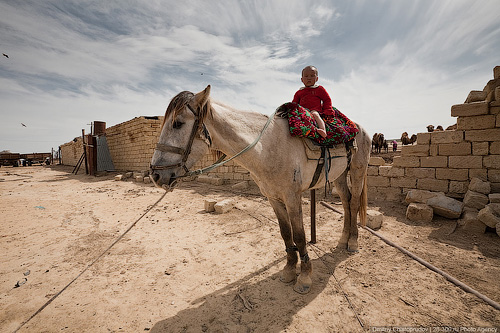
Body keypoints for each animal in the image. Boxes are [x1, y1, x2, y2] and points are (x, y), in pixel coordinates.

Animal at [149, 85, 372, 294]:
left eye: (177, 123)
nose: (155, 175)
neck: (267, 147)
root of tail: (361, 129)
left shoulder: (292, 197)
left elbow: (300, 236)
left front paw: (304, 277)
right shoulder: (273, 198)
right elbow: (286, 233)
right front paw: (289, 270)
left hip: (357, 170)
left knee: (353, 202)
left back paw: (352, 243)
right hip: (339, 176)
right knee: (346, 201)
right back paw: (342, 241)